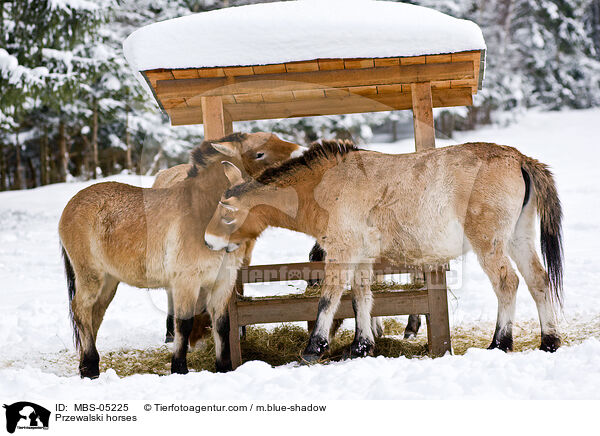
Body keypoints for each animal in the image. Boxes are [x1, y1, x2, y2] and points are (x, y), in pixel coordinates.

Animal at [205, 140, 564, 362]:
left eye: (227, 213)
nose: (208, 240)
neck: (327, 185)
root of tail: (519, 159)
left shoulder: (341, 253)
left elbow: (328, 299)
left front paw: (315, 347)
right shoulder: (361, 258)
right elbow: (360, 298)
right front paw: (361, 346)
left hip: (489, 244)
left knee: (507, 285)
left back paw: (500, 343)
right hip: (518, 239)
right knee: (538, 281)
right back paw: (549, 341)